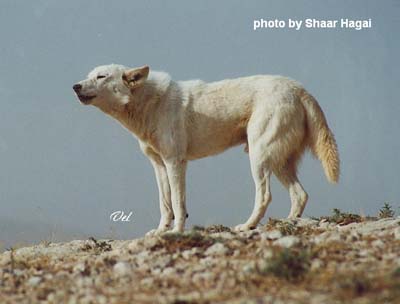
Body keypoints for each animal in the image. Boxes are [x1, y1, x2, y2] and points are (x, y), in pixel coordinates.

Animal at [73, 64, 340, 235]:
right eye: (89, 76)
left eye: (101, 76)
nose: (75, 86)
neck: (148, 104)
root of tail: (300, 89)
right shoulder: (158, 165)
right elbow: (165, 204)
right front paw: (160, 231)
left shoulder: (175, 162)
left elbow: (178, 204)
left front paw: (176, 232)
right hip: (278, 163)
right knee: (300, 195)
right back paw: (288, 224)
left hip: (259, 158)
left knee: (265, 196)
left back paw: (247, 226)